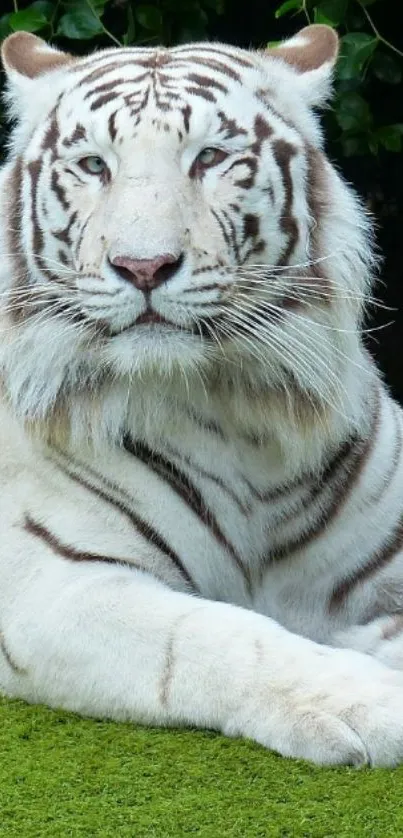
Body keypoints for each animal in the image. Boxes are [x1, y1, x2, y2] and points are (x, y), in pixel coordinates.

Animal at [0, 21, 403, 768]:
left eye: (210, 157)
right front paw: (368, 701)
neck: (239, 408)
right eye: (94, 165)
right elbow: (219, 635)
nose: (143, 266)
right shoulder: (52, 584)